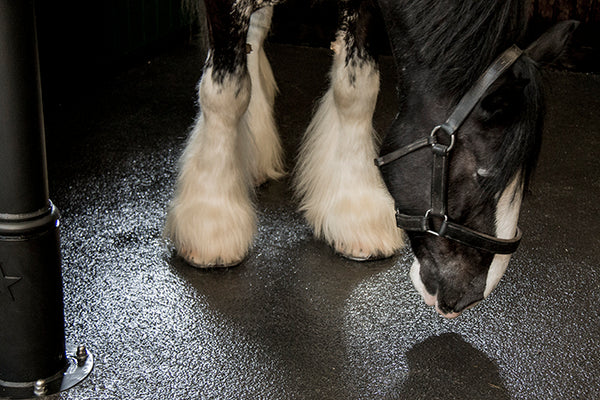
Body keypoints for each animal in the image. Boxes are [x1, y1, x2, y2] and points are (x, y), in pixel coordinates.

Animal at [166, 0, 580, 318]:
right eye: (483, 177)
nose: (469, 297)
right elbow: (225, 92)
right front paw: (211, 220)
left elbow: (357, 87)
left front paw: (354, 214)